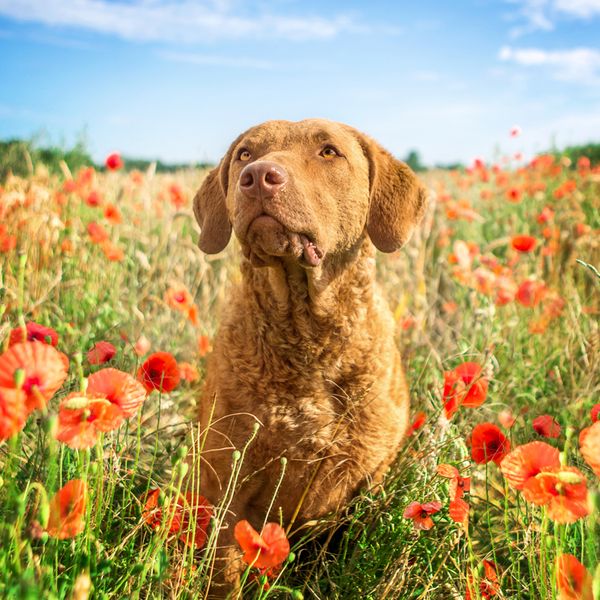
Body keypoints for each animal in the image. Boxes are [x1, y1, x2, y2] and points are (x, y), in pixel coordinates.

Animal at [192, 118, 426, 596]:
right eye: (245, 153)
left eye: (329, 152)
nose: (258, 177)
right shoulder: (227, 482)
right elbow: (223, 572)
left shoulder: (367, 483)